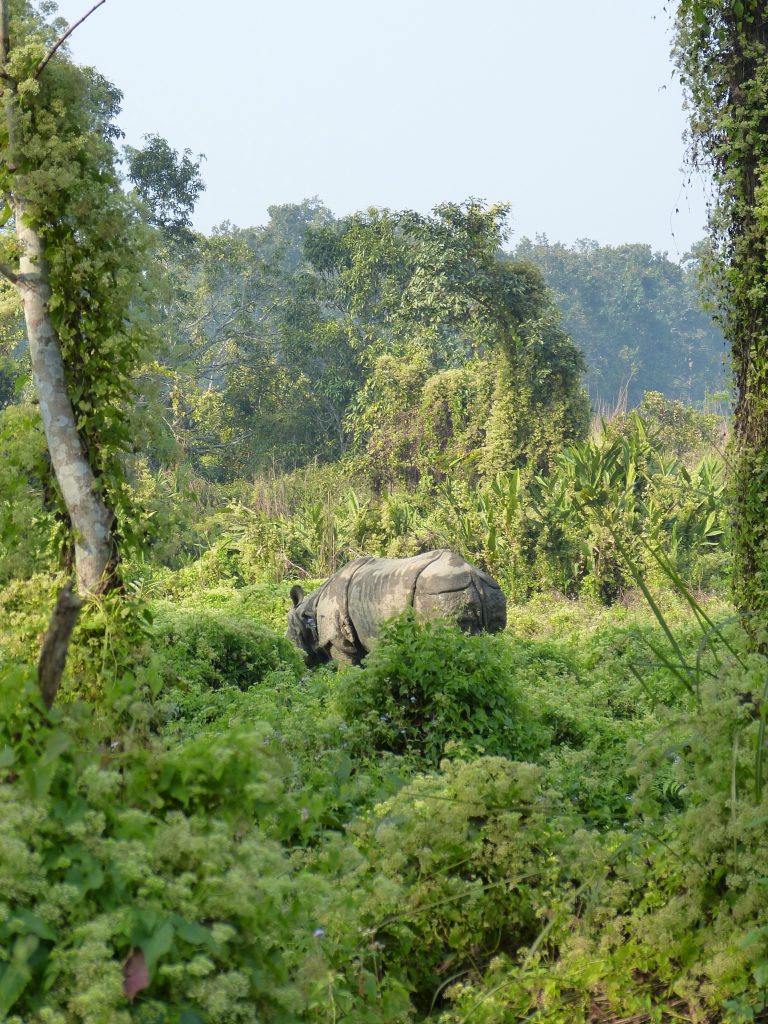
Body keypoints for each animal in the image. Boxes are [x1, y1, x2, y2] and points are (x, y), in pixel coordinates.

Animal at [286, 548, 507, 667]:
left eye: (290, 636)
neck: (307, 612)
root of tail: (473, 575)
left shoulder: (336, 639)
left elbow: (347, 668)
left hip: (439, 592)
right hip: (488, 590)